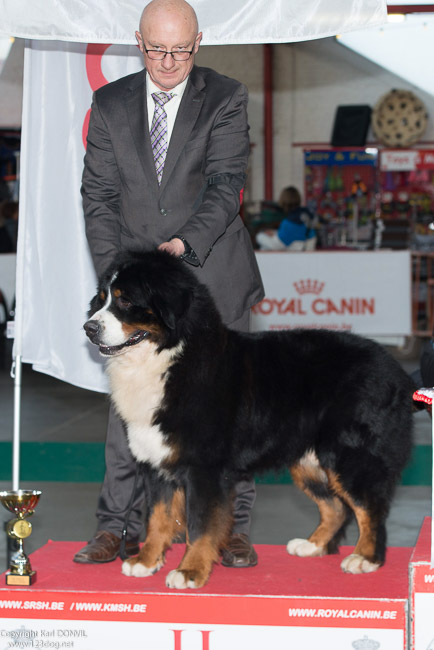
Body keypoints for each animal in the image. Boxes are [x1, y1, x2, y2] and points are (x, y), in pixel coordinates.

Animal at [84, 248, 414, 588]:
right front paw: (147, 561)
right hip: (309, 462)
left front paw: (190, 571)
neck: (171, 358)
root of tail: (398, 373)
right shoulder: (155, 462)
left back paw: (366, 558)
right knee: (336, 507)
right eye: (101, 299)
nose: (88, 328)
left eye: (125, 301)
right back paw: (312, 545)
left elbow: (200, 525)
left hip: (350, 457)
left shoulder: (204, 468)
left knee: (370, 508)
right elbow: (157, 517)